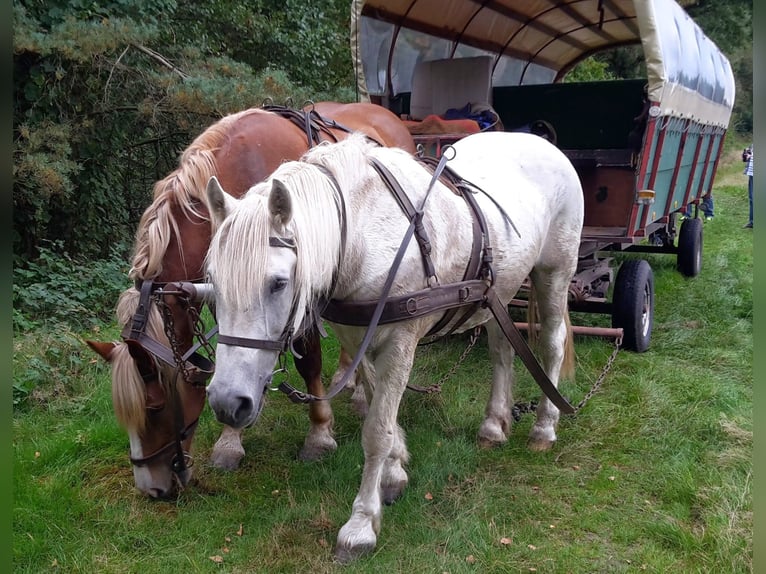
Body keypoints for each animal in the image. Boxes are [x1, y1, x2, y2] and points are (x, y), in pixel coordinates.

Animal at [86, 102, 416, 499]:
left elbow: (308, 363)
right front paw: (231, 439)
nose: (153, 489)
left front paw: (319, 433)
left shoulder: (298, 290)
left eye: (155, 408)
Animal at [203, 130, 584, 562]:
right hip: (499, 289)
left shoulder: (400, 341)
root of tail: (542, 142)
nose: (227, 403)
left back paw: (544, 428)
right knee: (502, 351)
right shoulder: (357, 337)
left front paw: (361, 525)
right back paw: (493, 425)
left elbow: (376, 430)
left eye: (278, 283)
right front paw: (394, 471)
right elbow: (376, 407)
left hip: (554, 272)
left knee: (551, 344)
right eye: (213, 282)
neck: (365, 234)